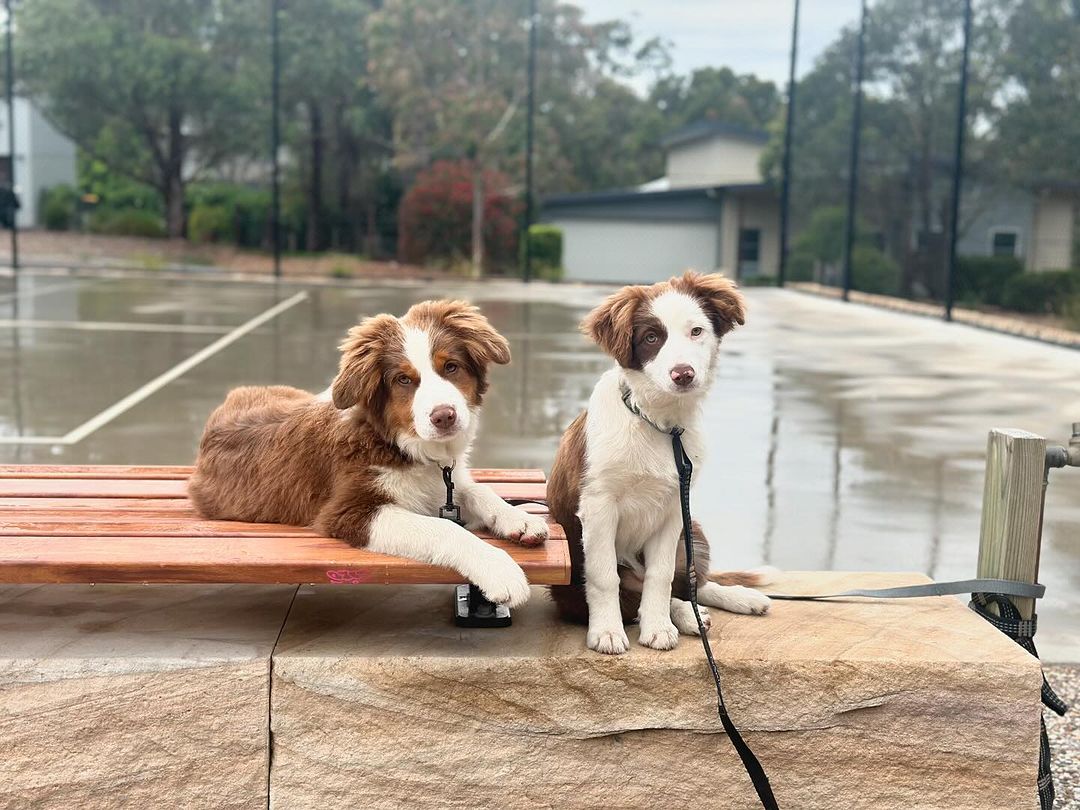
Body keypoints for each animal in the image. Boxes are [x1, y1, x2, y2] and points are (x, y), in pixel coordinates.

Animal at [185, 302, 548, 604]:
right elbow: (444, 528)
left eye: (451, 367)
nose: (444, 416)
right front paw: (499, 569)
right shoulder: (347, 511)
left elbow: (478, 490)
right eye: (403, 380)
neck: (399, 444)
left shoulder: (446, 482)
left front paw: (520, 518)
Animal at [552, 276, 773, 656]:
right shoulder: (598, 506)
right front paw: (607, 632)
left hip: (692, 530)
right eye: (651, 338)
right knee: (638, 593)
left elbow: (662, 575)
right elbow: (604, 576)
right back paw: (687, 615)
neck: (659, 423)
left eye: (696, 331)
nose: (683, 374)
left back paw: (729, 601)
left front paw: (657, 628)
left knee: (692, 584)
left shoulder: (673, 508)